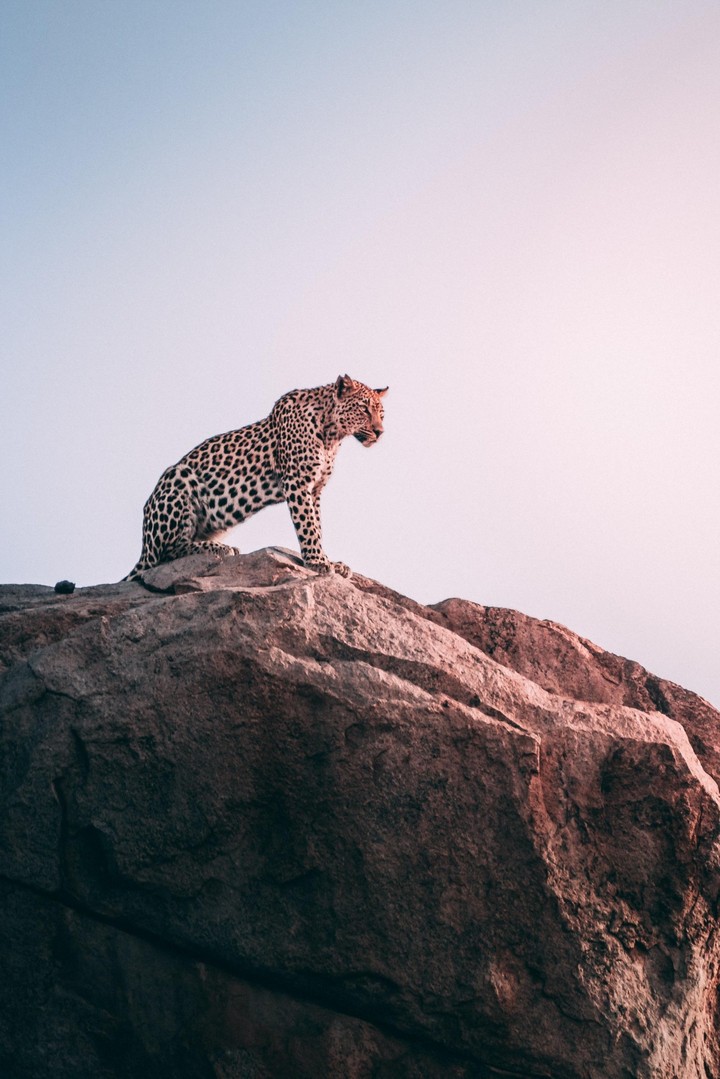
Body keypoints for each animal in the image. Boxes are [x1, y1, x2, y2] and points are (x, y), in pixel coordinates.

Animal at [123, 375, 387, 582]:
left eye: (382, 414)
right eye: (364, 409)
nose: (380, 432)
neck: (332, 435)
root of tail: (144, 547)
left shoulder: (315, 490)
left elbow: (317, 525)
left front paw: (329, 560)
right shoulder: (297, 482)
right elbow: (308, 525)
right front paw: (317, 562)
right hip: (178, 477)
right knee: (166, 553)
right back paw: (220, 548)